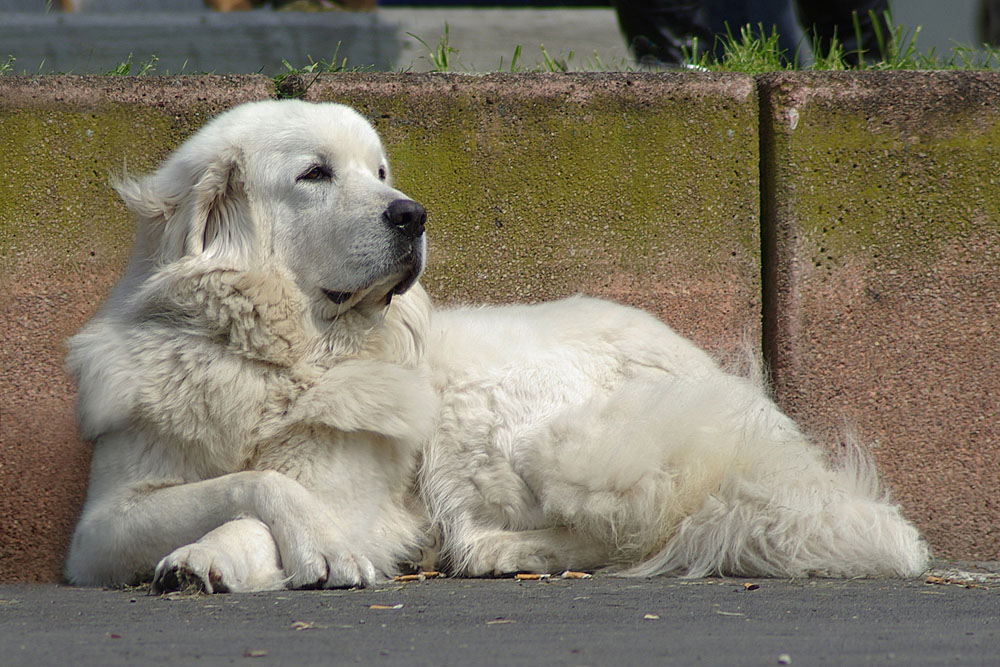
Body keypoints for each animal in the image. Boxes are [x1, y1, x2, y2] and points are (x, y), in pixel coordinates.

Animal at [66, 100, 928, 596]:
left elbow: (278, 498)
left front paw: (240, 556)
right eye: (316, 174)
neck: (271, 357)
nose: (412, 213)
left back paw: (494, 549)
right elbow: (247, 482)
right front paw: (207, 551)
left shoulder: (353, 495)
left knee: (641, 527)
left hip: (525, 432)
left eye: (380, 170)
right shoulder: (103, 523)